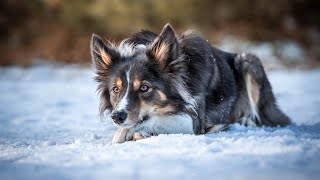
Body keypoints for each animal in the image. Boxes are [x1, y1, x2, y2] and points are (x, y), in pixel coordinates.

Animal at [89, 23, 290, 143]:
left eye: (144, 88)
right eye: (116, 89)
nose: (117, 116)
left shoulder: (194, 119)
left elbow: (154, 120)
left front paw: (127, 132)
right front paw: (130, 132)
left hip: (249, 61)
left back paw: (247, 120)